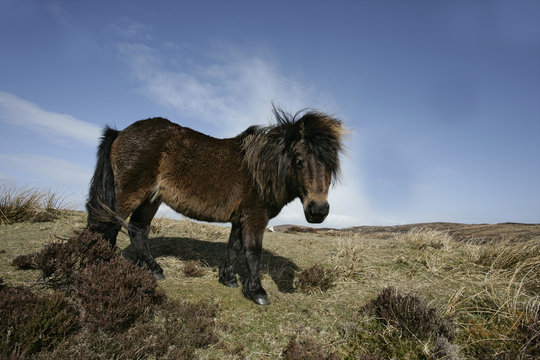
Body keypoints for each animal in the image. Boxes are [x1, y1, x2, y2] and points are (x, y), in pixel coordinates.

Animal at [86, 106, 344, 304]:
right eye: (299, 161)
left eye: (331, 165)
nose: (318, 211)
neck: (259, 171)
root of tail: (120, 132)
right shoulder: (255, 217)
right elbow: (253, 252)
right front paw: (257, 292)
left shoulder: (240, 219)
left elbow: (234, 248)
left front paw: (228, 279)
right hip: (129, 194)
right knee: (105, 226)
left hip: (151, 198)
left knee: (138, 229)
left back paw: (155, 270)